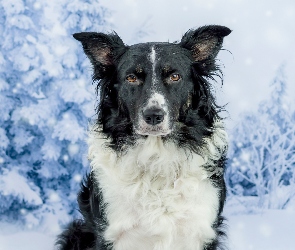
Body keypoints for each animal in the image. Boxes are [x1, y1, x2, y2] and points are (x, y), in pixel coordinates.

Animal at [55, 23, 231, 250]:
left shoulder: (200, 232)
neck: (156, 157)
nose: (153, 115)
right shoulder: (110, 234)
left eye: (175, 77)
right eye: (131, 78)